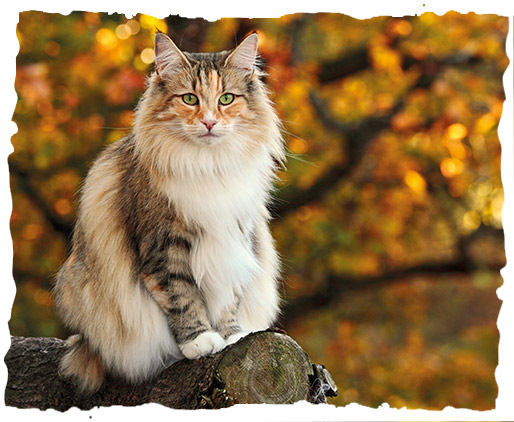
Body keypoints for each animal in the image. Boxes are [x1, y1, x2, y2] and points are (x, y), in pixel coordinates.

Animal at [54, 32, 286, 392]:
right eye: (190, 99)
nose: (209, 122)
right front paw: (200, 340)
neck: (209, 166)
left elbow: (228, 298)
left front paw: (232, 336)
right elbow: (182, 297)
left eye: (226, 99)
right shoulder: (163, 246)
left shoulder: (235, 238)